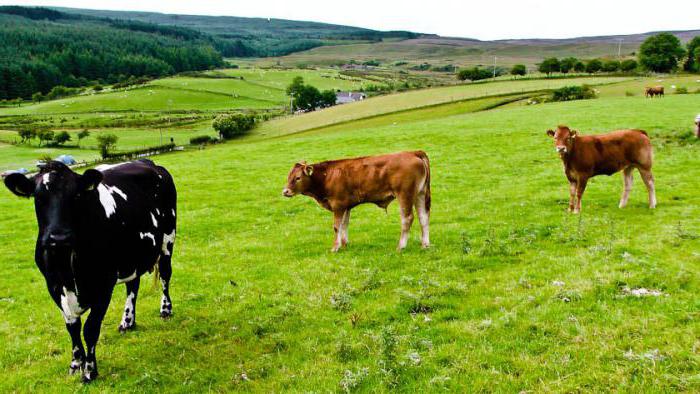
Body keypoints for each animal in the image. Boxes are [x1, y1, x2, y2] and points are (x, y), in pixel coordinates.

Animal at [4, 159, 178, 382]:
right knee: (133, 284)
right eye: (39, 197)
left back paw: (165, 309)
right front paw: (75, 364)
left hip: (167, 239)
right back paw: (127, 321)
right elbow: (72, 327)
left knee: (165, 275)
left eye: (76, 196)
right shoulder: (53, 286)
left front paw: (89, 371)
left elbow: (90, 329)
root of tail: (149, 162)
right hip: (132, 255)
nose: (59, 237)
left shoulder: (104, 285)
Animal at [282, 151, 430, 252]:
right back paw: (425, 244)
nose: (285, 191)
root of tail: (412, 152)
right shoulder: (346, 206)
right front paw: (344, 244)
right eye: (289, 176)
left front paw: (335, 247)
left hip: (404, 194)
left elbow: (337, 226)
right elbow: (344, 225)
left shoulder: (338, 205)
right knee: (423, 217)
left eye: (298, 177)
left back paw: (401, 246)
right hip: (420, 194)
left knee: (407, 218)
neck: (327, 176)